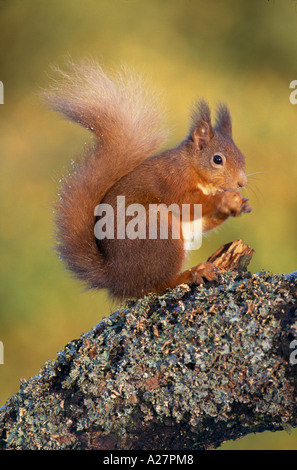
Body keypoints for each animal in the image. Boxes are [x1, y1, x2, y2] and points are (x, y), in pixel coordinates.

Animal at [45, 61, 251, 302]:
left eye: (243, 157)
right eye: (217, 159)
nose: (241, 182)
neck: (193, 168)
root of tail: (118, 278)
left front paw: (237, 204)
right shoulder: (172, 180)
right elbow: (187, 204)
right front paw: (225, 199)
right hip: (156, 229)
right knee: (156, 284)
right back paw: (191, 274)